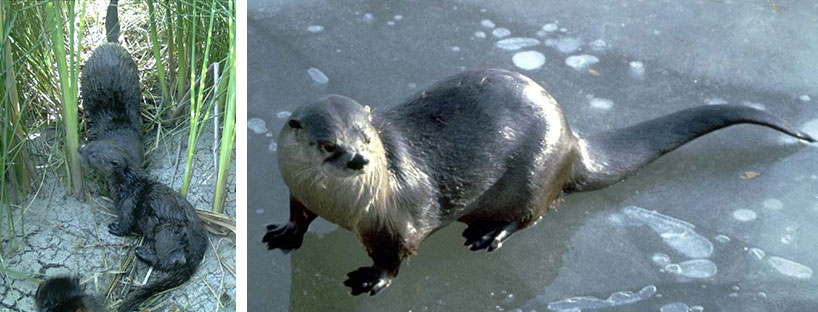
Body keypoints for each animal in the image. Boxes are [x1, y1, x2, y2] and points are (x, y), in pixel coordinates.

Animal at [78, 142, 207, 312]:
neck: (128, 184)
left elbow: (126, 222)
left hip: (167, 232)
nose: (79, 149)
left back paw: (142, 253)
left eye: (93, 154)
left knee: (169, 261)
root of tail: (196, 252)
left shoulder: (128, 202)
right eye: (90, 143)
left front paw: (114, 228)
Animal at [262, 68, 816, 294]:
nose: (358, 160)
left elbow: (397, 253)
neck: (341, 206)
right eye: (328, 145)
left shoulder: (399, 217)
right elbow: (297, 214)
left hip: (534, 176)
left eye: (368, 136)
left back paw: (488, 234)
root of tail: (573, 142)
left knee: (532, 215)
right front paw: (285, 233)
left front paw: (370, 279)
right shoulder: (297, 189)